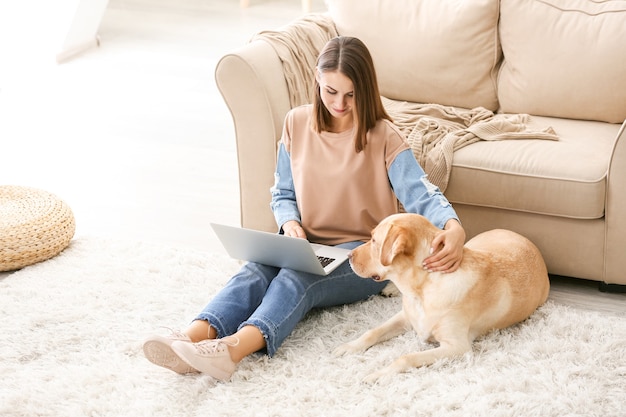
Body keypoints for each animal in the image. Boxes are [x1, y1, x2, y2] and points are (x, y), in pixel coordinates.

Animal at [332, 213, 544, 382]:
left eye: (374, 240)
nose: (349, 256)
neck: (422, 288)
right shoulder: (406, 316)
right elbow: (372, 331)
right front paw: (349, 346)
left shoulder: (457, 347)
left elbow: (406, 357)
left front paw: (379, 374)